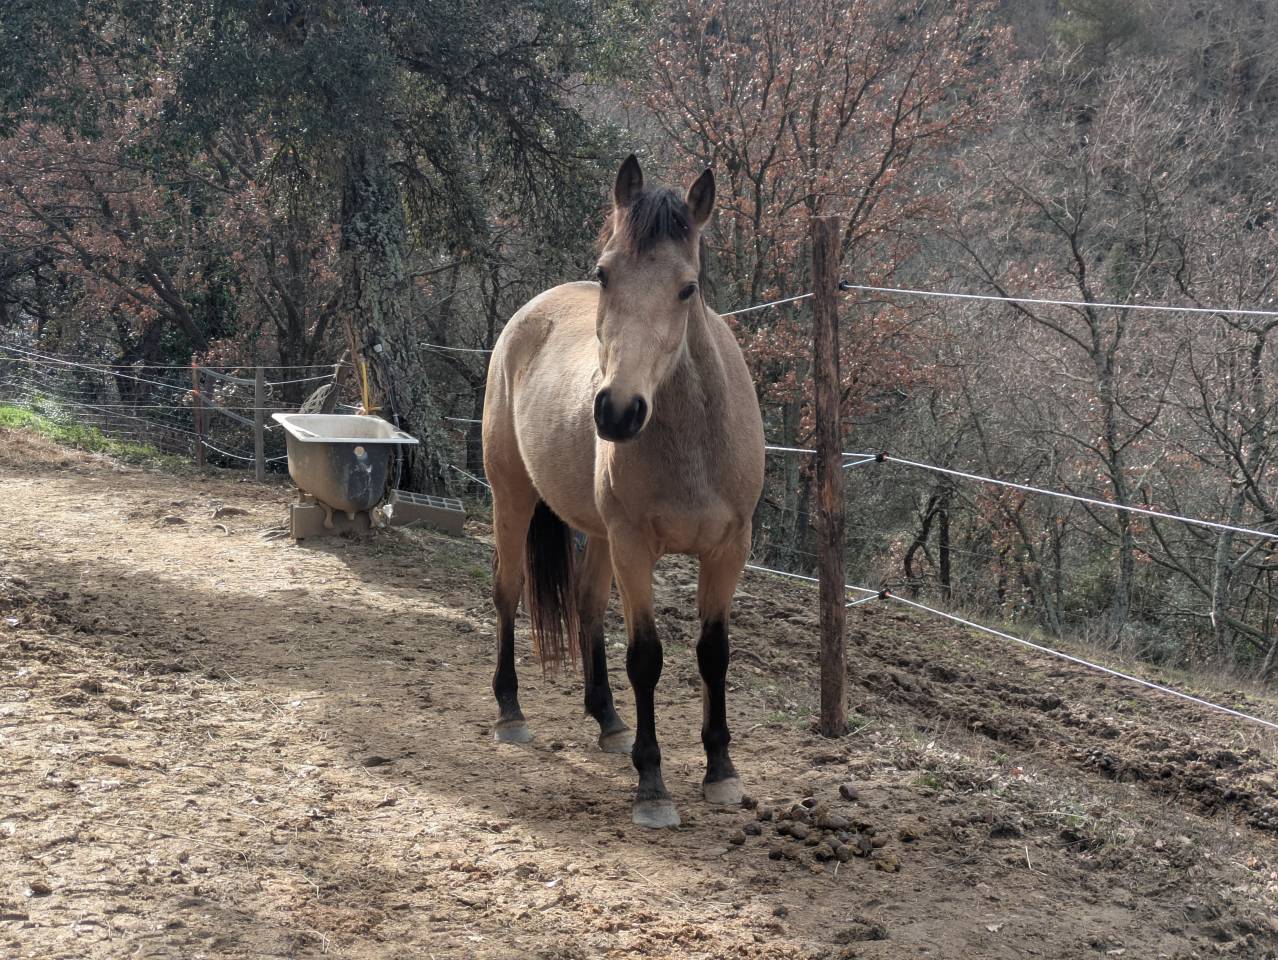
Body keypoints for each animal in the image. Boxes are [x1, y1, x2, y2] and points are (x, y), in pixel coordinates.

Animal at [481, 154, 765, 828]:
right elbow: (647, 657)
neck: (692, 443)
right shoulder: (636, 549)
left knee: (585, 605)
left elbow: (713, 652)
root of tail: (528, 316)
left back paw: (608, 719)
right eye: (605, 273)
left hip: (599, 533)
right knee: (508, 591)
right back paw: (511, 711)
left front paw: (721, 770)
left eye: (688, 288)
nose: (615, 411)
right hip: (512, 496)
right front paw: (653, 784)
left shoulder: (728, 550)